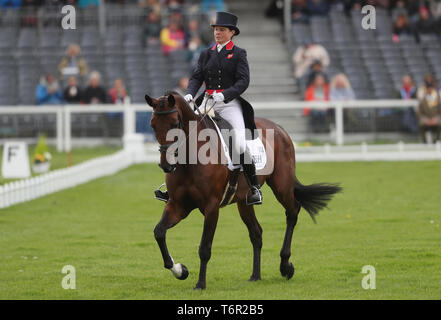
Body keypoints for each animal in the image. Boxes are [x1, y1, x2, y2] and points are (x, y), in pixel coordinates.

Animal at [144, 90, 340, 290]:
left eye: (175, 123)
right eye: (153, 125)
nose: (166, 165)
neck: (190, 160)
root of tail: (279, 128)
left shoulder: (211, 207)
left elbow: (204, 248)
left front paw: (200, 284)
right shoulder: (178, 206)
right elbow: (159, 232)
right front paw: (179, 270)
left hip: (281, 186)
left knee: (292, 212)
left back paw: (285, 266)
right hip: (244, 202)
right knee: (256, 233)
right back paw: (255, 275)